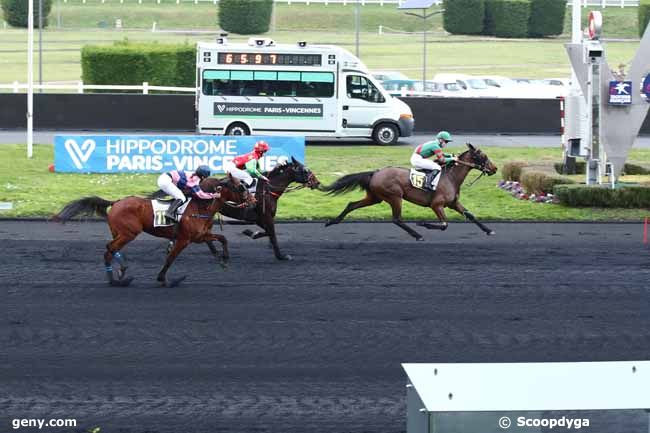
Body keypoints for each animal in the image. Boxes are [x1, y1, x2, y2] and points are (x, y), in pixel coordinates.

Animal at [53, 174, 249, 286]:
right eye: (240, 187)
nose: (252, 200)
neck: (200, 206)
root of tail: (116, 202)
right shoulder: (184, 239)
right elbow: (171, 258)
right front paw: (164, 279)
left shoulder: (199, 236)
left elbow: (222, 239)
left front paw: (224, 259)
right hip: (129, 233)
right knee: (110, 249)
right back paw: (117, 278)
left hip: (119, 232)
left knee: (112, 249)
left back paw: (120, 273)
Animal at [318, 143, 496, 240]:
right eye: (484, 156)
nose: (494, 168)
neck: (450, 177)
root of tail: (375, 173)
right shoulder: (436, 205)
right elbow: (444, 224)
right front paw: (423, 223)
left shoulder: (453, 203)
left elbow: (470, 215)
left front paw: (489, 230)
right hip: (395, 197)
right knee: (397, 219)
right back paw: (418, 234)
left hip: (375, 197)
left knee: (351, 205)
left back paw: (331, 222)